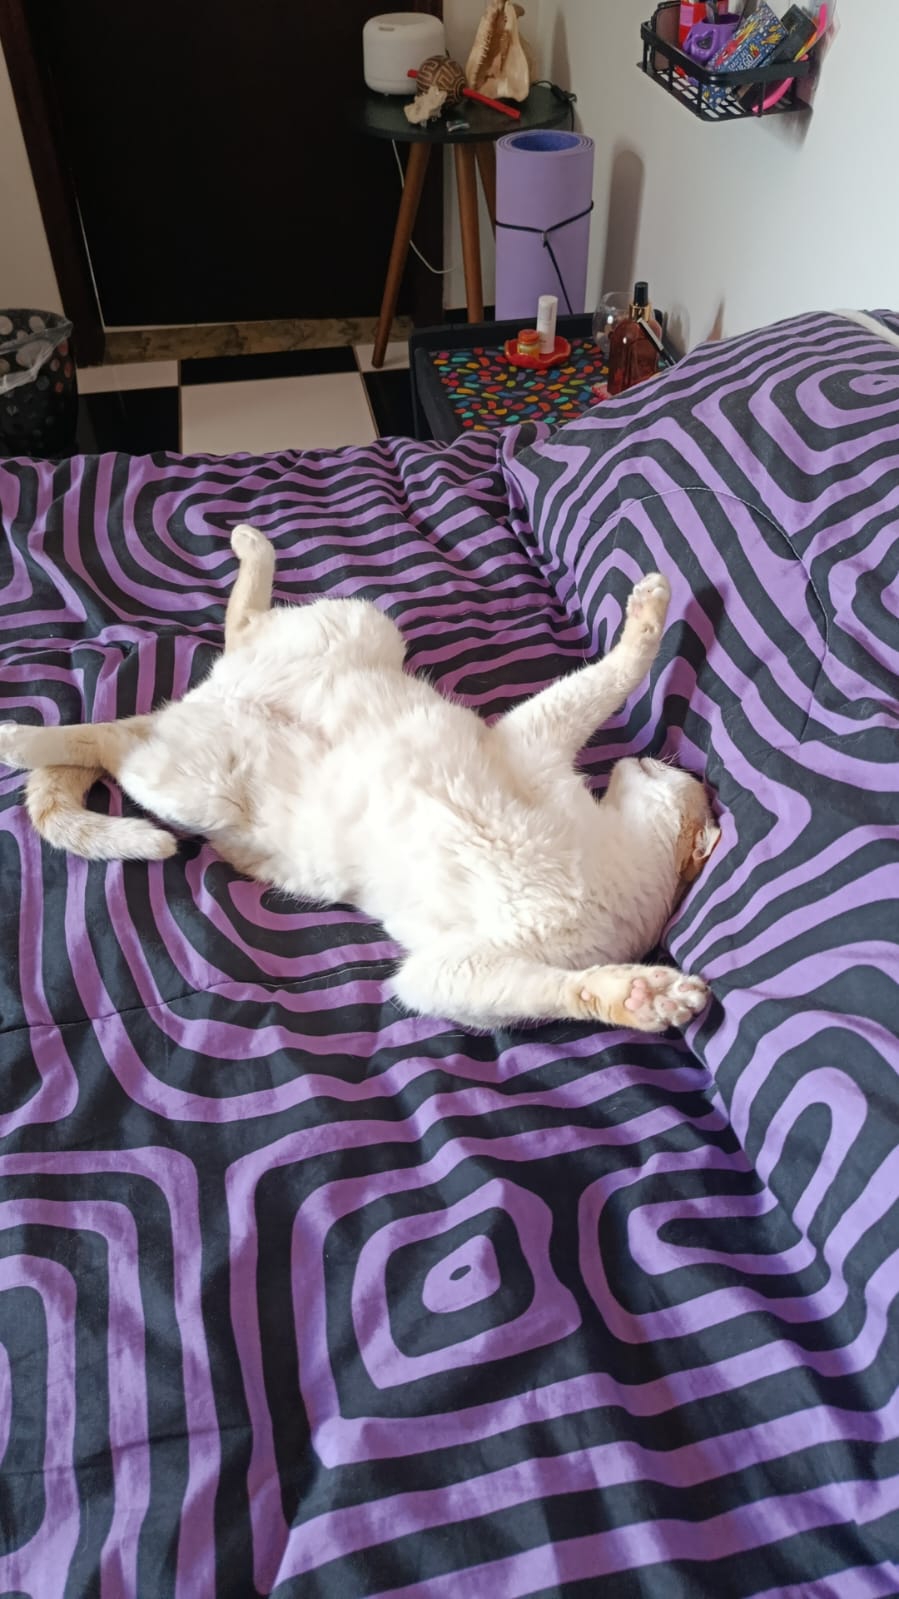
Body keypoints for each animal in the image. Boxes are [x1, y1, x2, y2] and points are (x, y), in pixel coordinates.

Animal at [0, 524, 720, 1033]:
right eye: (663, 769)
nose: (645, 759)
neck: (611, 889)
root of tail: (204, 698)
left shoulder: (447, 972)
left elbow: (552, 990)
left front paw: (638, 996)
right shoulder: (531, 739)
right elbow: (611, 676)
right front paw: (647, 616)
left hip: (190, 778)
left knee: (124, 730)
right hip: (356, 624)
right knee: (145, 703)